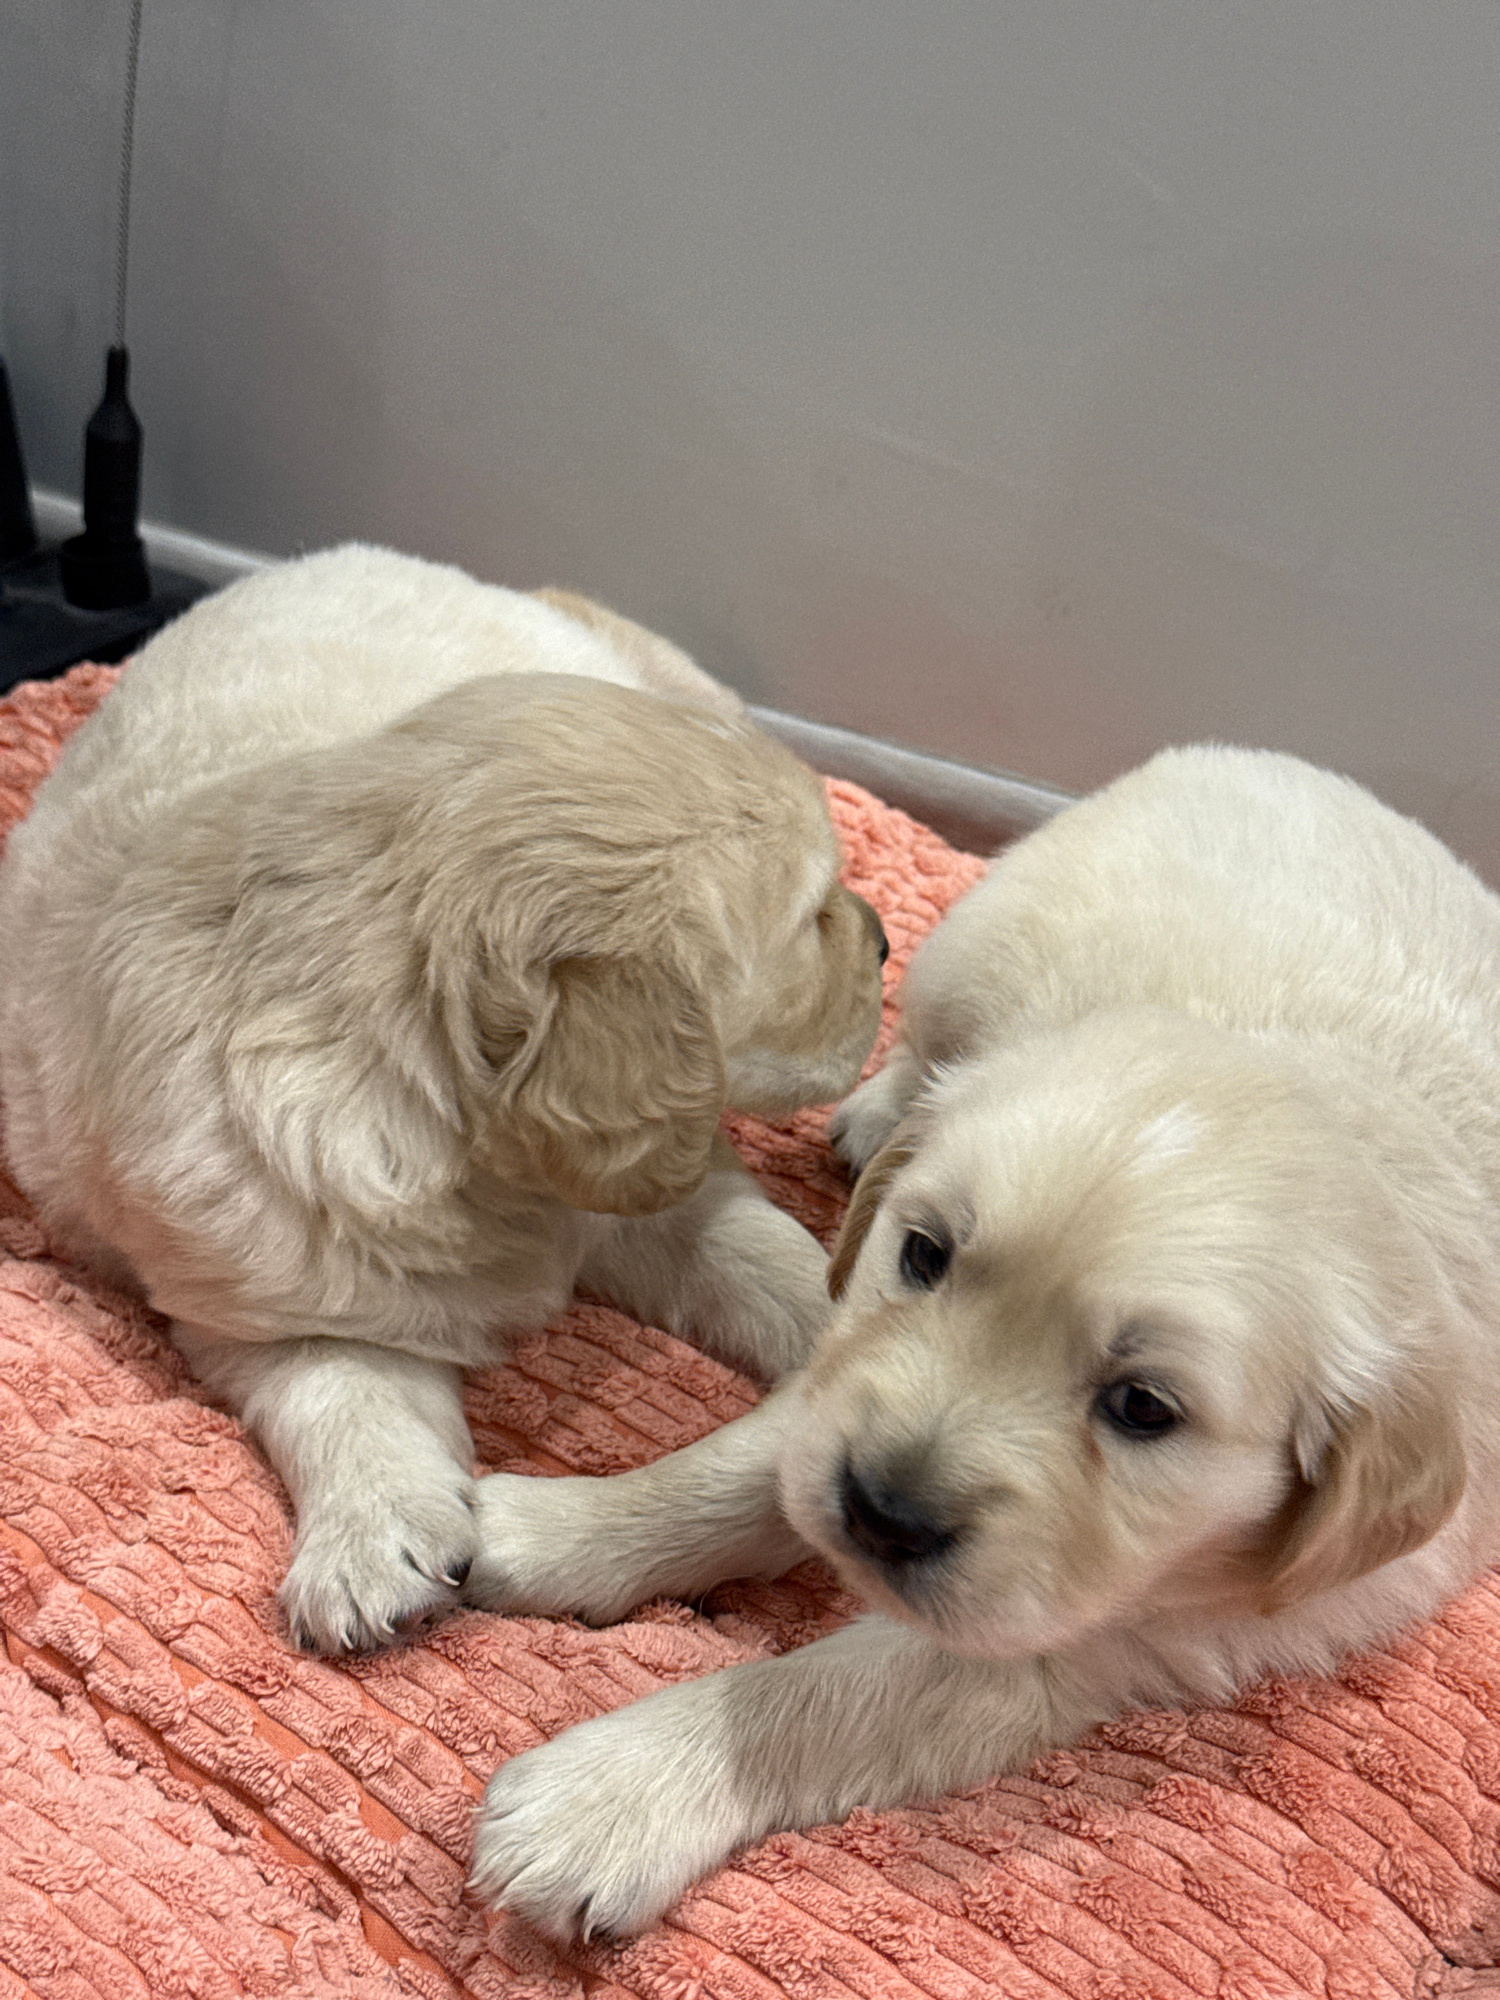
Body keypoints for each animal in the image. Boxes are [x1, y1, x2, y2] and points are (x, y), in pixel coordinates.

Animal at [0, 543, 887, 1653]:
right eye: (813, 918)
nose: (887, 942)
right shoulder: (256, 1293)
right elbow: (340, 1388)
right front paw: (370, 1541)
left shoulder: (656, 1184)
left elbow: (765, 1254)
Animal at [465, 743, 1500, 1941]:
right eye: (924, 1255)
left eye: (1143, 1407)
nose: (880, 1511)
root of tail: (1281, 759)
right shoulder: (845, 1381)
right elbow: (733, 1469)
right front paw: (555, 1528)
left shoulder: (1093, 1631)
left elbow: (822, 1694)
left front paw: (608, 1794)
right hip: (970, 949)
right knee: (926, 1046)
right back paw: (879, 1107)